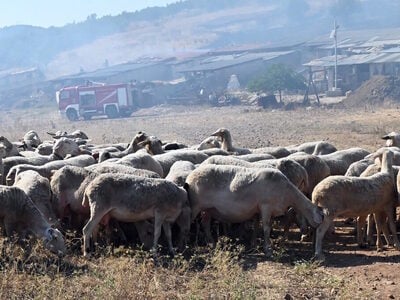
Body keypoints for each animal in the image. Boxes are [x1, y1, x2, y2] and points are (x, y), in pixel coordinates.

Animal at [184, 164, 322, 255]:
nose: (308, 234)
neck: (287, 192)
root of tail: (190, 177)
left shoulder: (259, 210)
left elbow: (257, 226)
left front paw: (254, 244)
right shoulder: (266, 206)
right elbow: (266, 228)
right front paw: (267, 249)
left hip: (208, 209)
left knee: (205, 224)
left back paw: (212, 243)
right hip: (195, 205)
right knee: (188, 224)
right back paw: (187, 246)